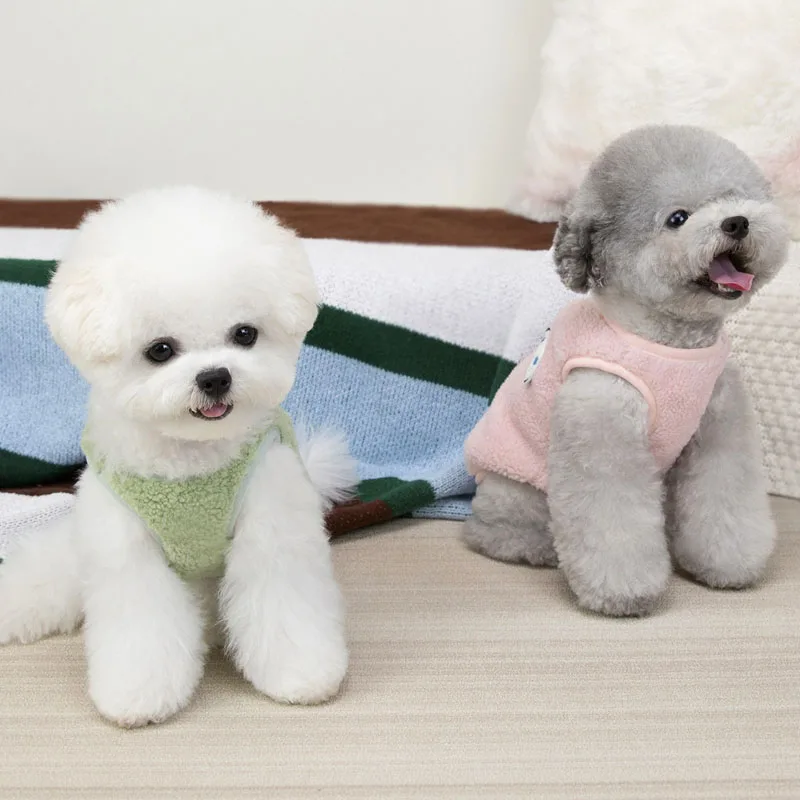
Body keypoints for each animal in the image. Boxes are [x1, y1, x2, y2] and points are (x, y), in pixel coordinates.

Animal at [0, 186, 356, 726]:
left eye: (245, 334)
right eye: (160, 350)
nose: (215, 376)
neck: (192, 464)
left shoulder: (272, 523)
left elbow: (282, 600)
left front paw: (301, 673)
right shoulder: (126, 547)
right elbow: (141, 624)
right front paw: (137, 695)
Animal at [464, 125, 790, 617]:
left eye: (734, 199)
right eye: (677, 218)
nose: (736, 222)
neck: (668, 344)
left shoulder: (718, 425)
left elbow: (721, 496)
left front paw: (728, 564)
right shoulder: (602, 426)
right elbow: (612, 519)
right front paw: (624, 593)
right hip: (519, 487)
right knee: (500, 529)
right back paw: (533, 546)